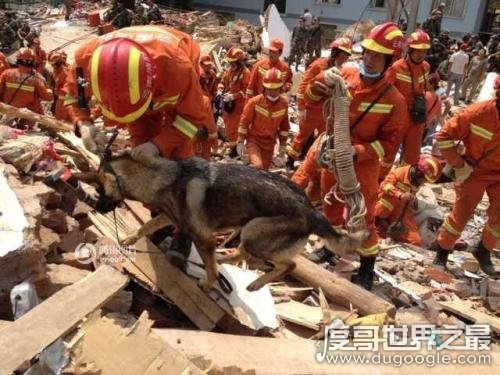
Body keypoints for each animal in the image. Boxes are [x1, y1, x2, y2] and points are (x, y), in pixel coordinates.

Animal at [76, 154, 366, 292]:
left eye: (100, 190)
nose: (95, 207)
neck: (163, 177)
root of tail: (313, 212)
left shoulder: (203, 237)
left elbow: (212, 272)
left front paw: (206, 285)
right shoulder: (170, 216)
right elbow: (147, 226)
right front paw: (130, 238)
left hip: (253, 232)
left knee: (288, 264)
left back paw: (255, 283)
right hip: (249, 233)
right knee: (243, 254)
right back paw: (227, 259)